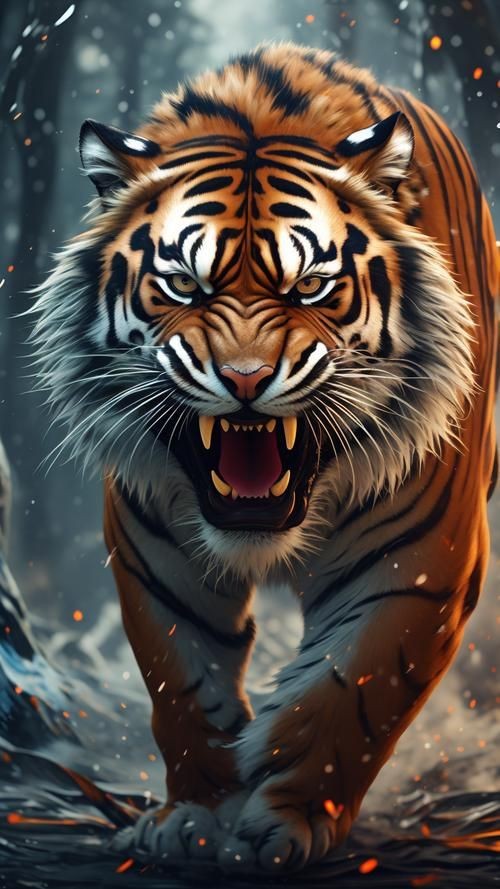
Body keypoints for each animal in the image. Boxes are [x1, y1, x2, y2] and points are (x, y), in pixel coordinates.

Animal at [32, 43, 498, 872]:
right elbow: (182, 685)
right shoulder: (159, 557)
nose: (245, 379)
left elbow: (351, 690)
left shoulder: (418, 562)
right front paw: (197, 816)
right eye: (182, 283)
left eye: (311, 285)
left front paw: (282, 821)